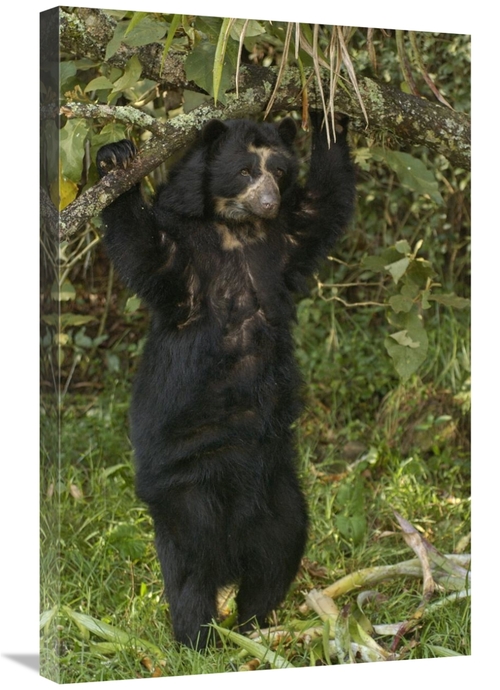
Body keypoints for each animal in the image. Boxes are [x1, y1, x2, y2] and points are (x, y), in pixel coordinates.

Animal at [97, 111, 356, 644]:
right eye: (243, 171)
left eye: (278, 171)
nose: (269, 201)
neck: (238, 230)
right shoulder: (187, 261)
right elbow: (145, 247)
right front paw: (115, 157)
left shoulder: (287, 241)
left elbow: (325, 202)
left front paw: (331, 108)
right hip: (187, 481)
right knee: (193, 564)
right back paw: (199, 638)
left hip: (279, 485)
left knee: (281, 548)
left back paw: (255, 626)